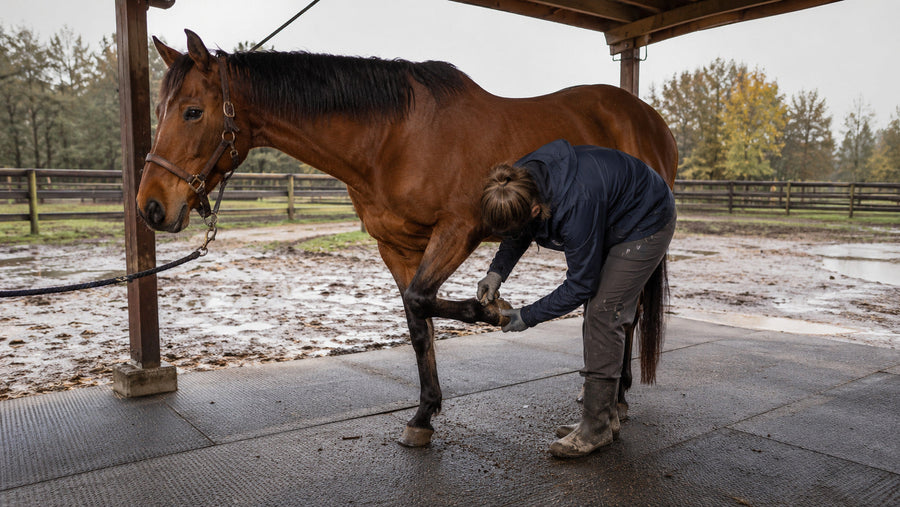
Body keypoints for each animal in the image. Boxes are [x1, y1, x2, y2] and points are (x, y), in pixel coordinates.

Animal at [137, 30, 678, 447]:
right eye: (158, 108)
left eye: (191, 112)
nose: (151, 207)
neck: (394, 137)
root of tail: (648, 118)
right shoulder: (396, 247)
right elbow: (418, 320)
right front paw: (423, 416)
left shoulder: (457, 231)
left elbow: (425, 300)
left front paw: (494, 311)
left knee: (622, 314)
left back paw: (619, 399)